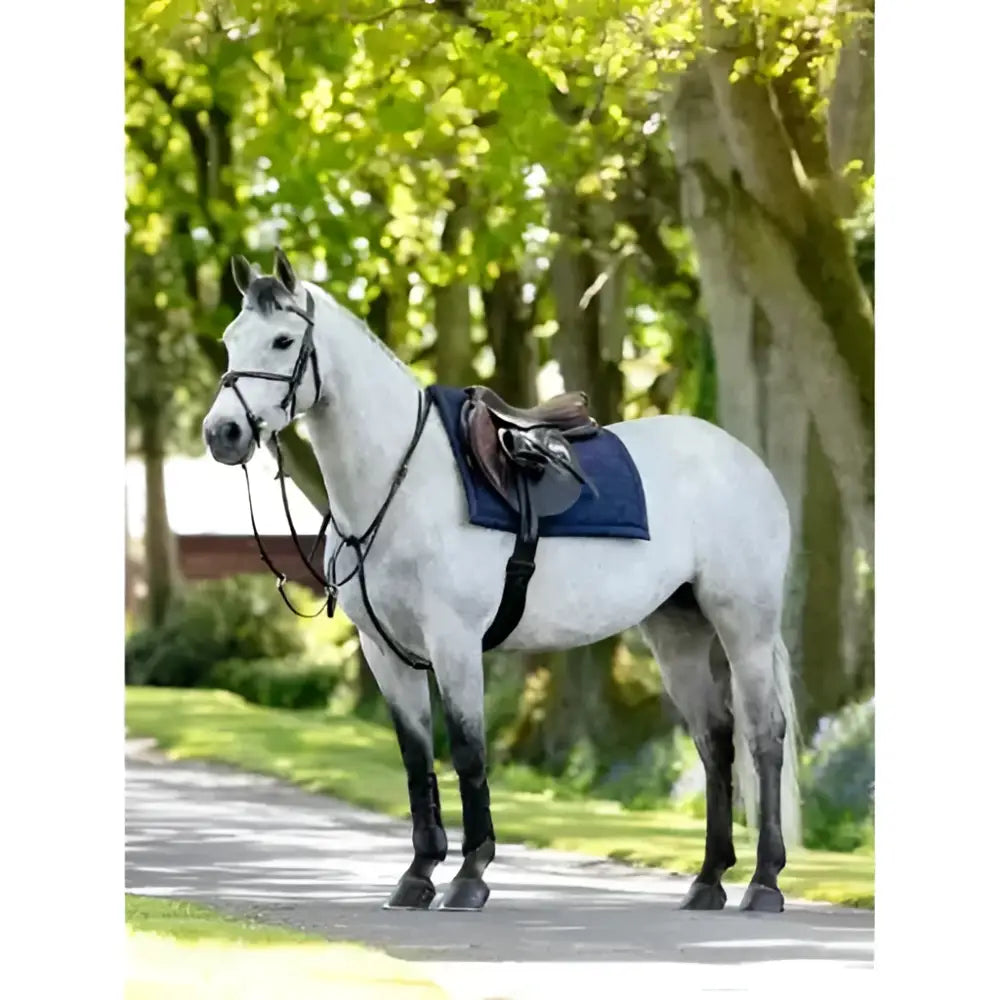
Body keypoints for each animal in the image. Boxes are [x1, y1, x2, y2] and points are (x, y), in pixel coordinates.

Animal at [202, 248, 801, 915]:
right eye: (230, 340)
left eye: (283, 341)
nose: (223, 433)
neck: (403, 482)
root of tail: (744, 462)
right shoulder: (386, 653)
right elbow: (416, 758)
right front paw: (417, 875)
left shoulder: (455, 643)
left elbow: (468, 751)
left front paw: (470, 876)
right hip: (678, 632)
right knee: (715, 740)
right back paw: (708, 881)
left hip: (744, 627)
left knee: (763, 737)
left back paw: (764, 882)